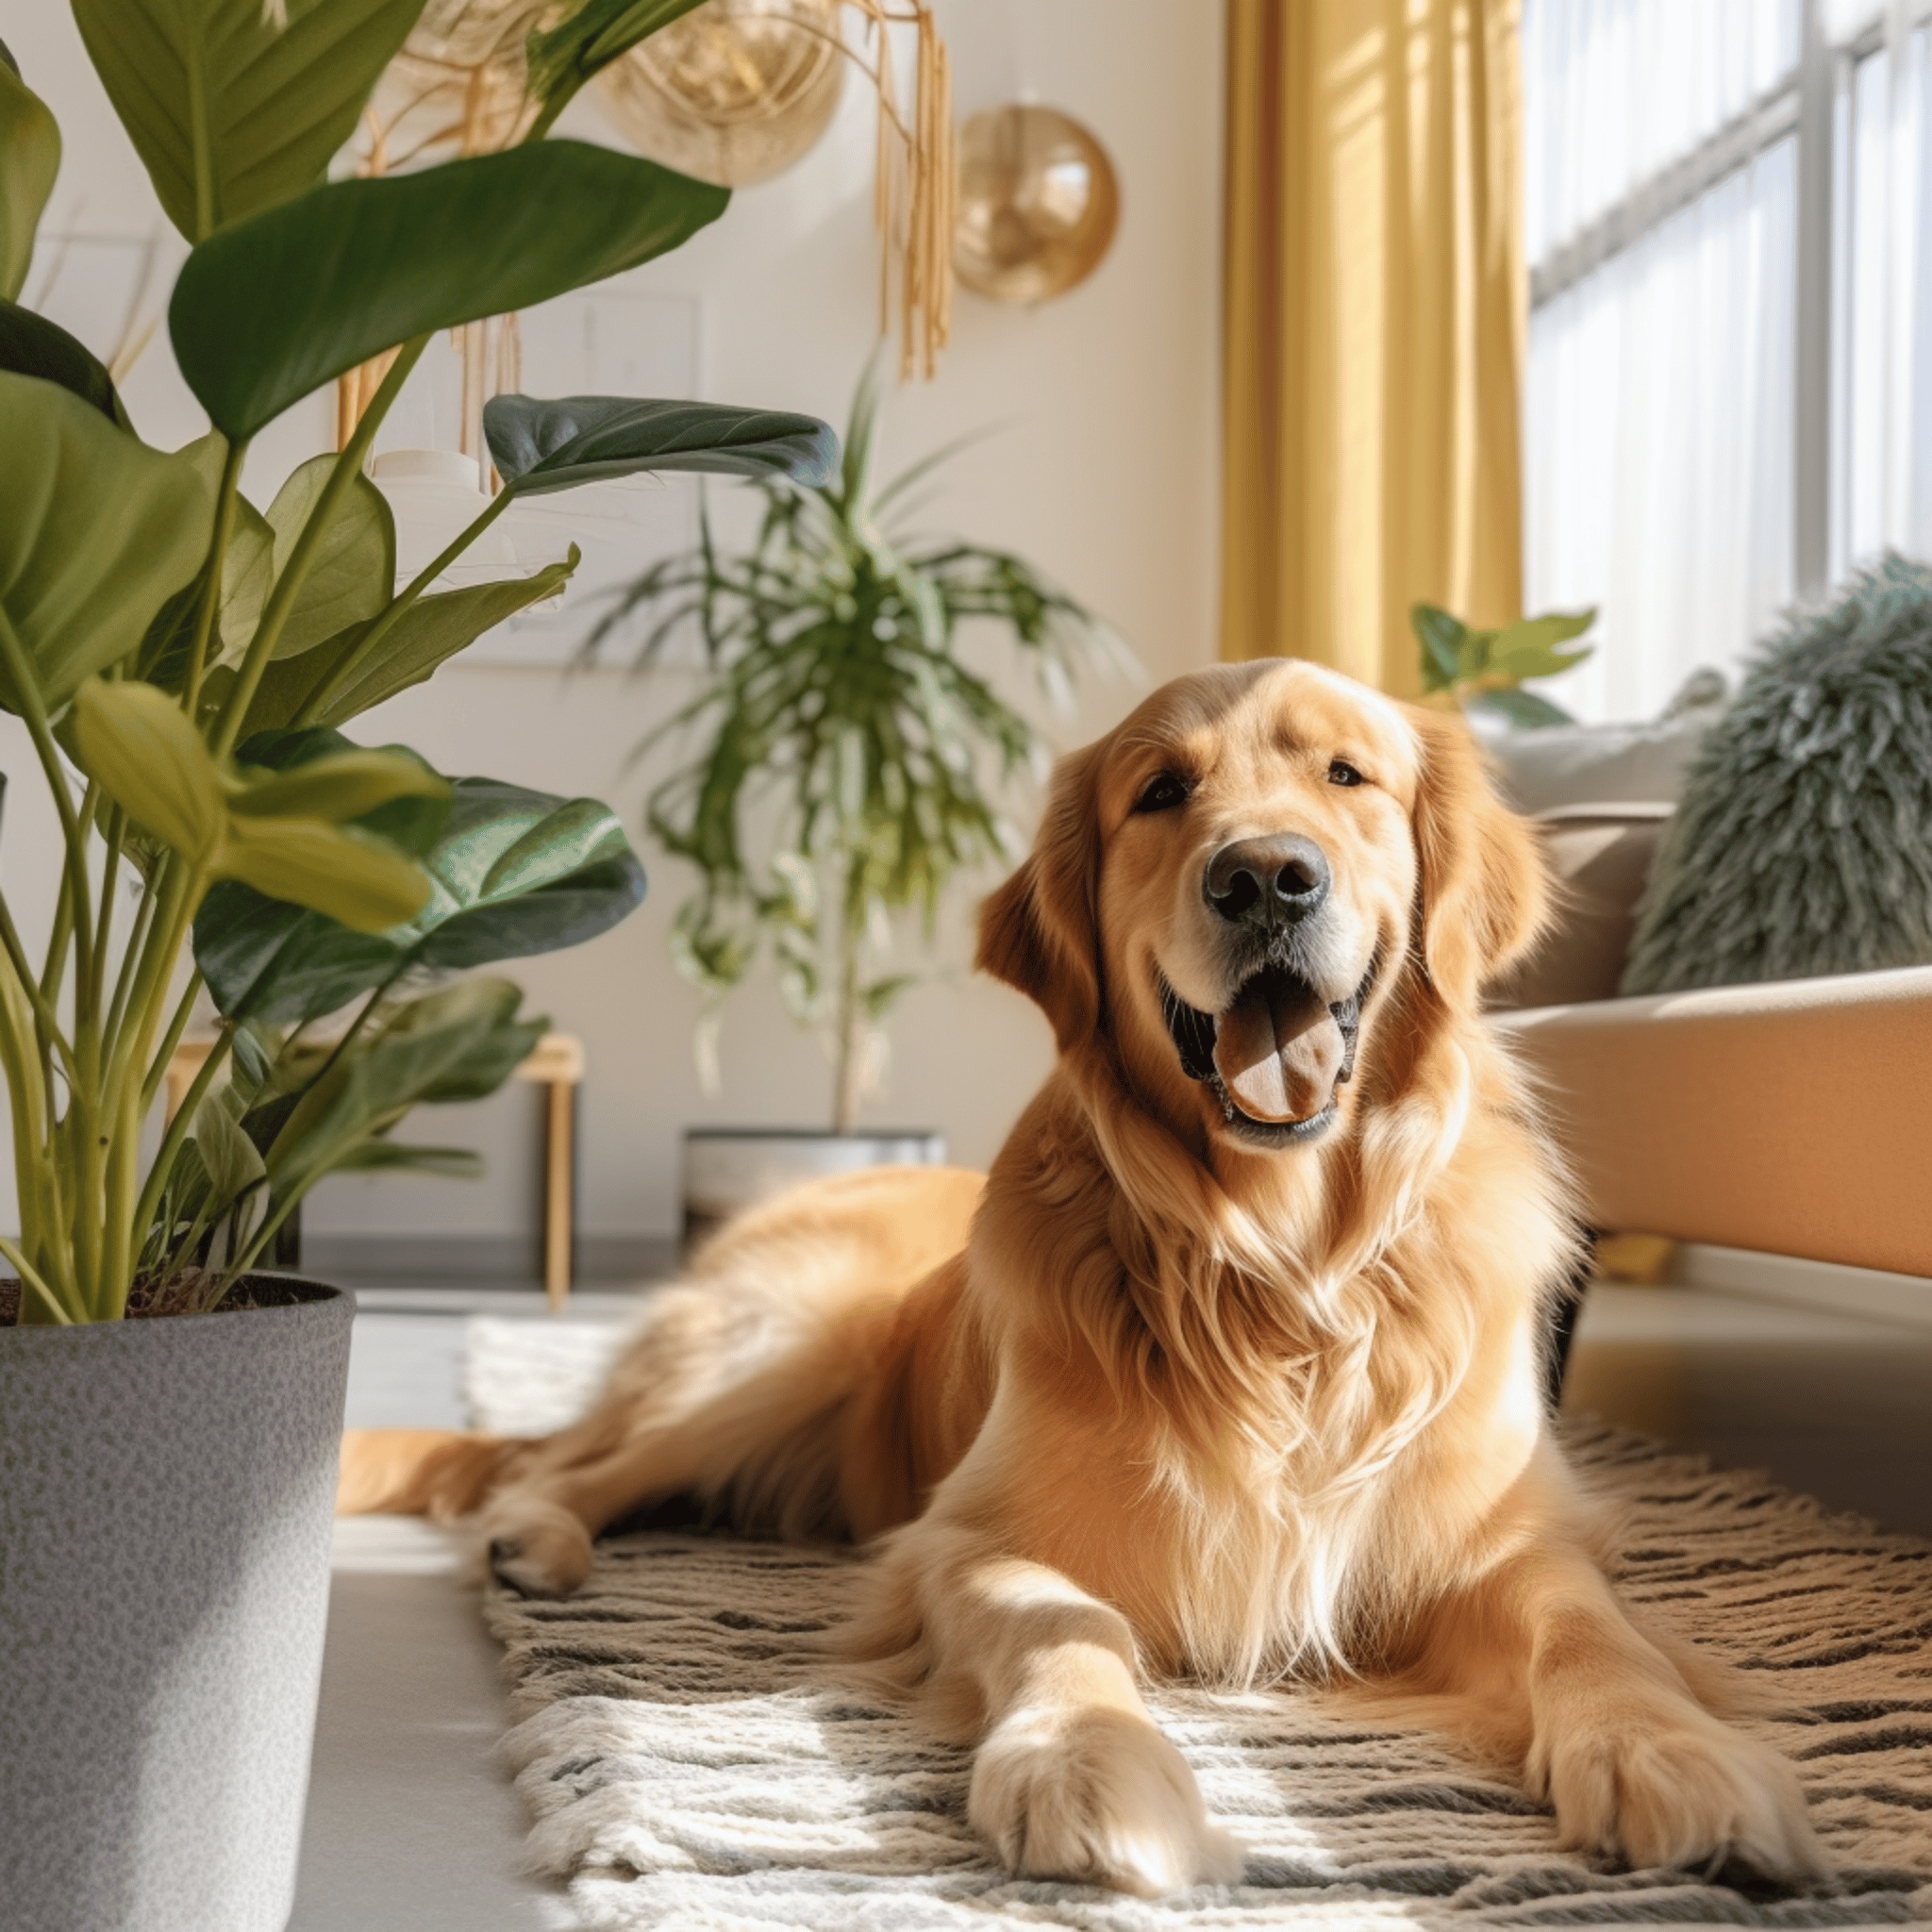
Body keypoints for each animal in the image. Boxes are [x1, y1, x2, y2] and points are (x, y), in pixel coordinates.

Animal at [343, 660, 1824, 1885]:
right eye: (1160, 793)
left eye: (1348, 777)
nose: (1265, 878)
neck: (1278, 1271)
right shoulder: (964, 1538)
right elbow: (1071, 1624)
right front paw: (1090, 1766)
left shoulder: (1505, 1535)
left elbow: (1588, 1629)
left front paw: (1668, 1750)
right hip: (780, 1348)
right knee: (573, 1459)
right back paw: (536, 1537)